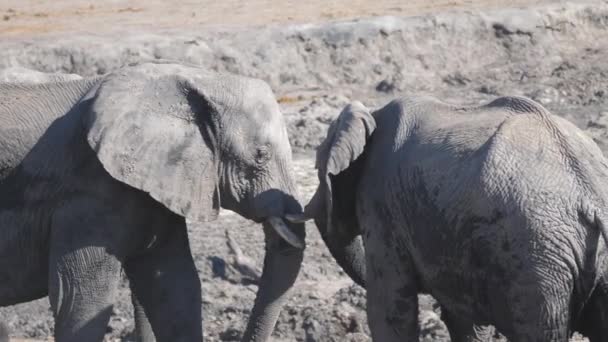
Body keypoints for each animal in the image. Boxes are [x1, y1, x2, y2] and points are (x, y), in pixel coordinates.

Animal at [290, 96, 608, 342]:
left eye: (318, 168)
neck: (373, 113)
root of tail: (590, 193)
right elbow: (464, 320)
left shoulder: (381, 206)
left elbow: (390, 309)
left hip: (536, 259)